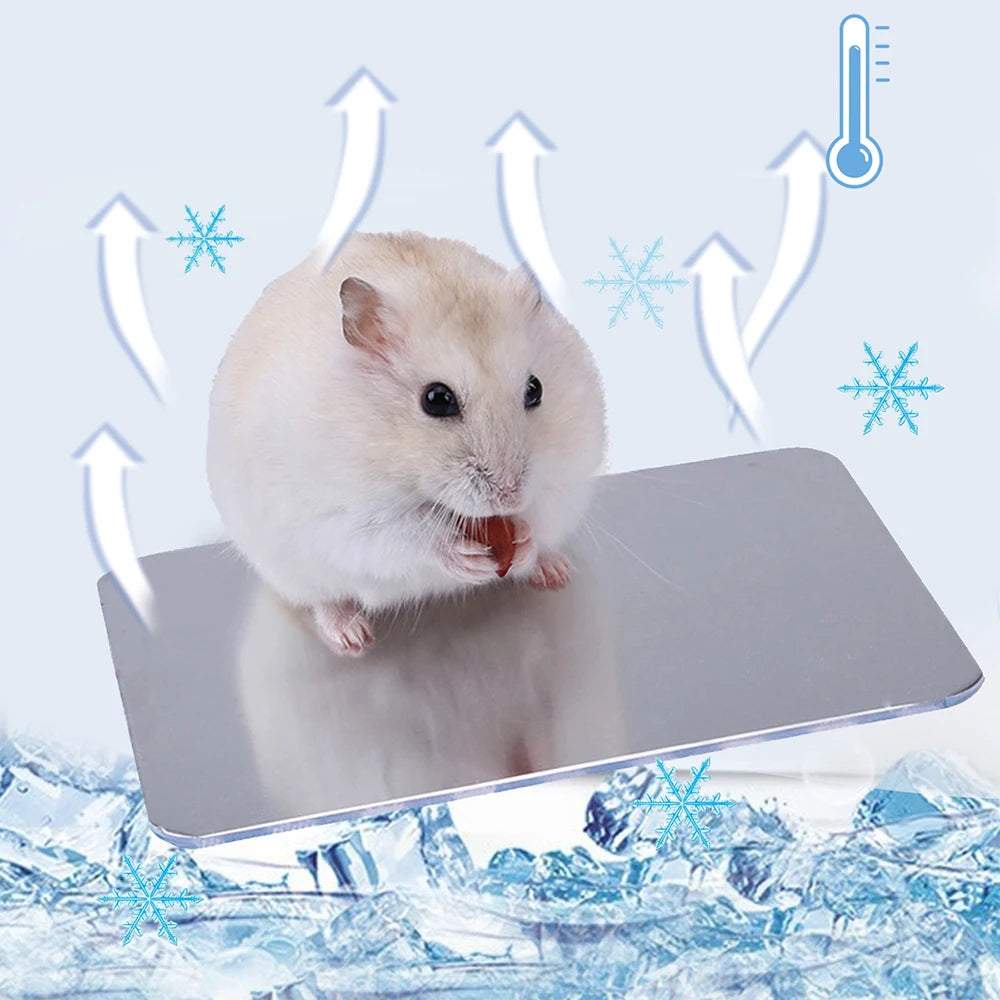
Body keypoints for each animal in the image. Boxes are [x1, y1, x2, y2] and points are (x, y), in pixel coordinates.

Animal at [207, 231, 607, 655]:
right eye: (436, 399)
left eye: (535, 389)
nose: (510, 497)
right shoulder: (339, 515)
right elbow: (402, 534)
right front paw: (466, 557)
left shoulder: (568, 475)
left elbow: (543, 510)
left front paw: (527, 540)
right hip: (292, 569)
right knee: (324, 599)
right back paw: (352, 636)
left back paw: (554, 571)